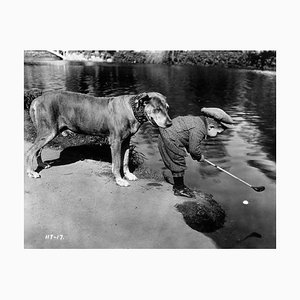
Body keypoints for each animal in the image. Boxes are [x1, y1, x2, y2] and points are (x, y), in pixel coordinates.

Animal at [25, 90, 171, 186]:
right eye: (157, 109)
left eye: (167, 108)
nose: (170, 123)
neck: (132, 108)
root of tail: (37, 99)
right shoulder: (116, 142)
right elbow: (117, 163)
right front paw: (119, 180)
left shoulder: (126, 142)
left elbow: (125, 160)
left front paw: (128, 175)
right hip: (48, 132)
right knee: (30, 151)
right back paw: (31, 172)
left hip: (47, 132)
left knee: (37, 150)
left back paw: (42, 164)